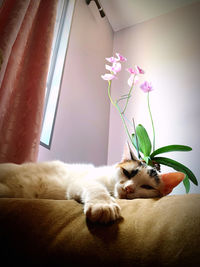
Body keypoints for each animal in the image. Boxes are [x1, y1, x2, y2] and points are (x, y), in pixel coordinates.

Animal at [0, 144, 184, 224]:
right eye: (127, 173)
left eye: (147, 187)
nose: (129, 188)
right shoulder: (83, 182)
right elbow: (98, 189)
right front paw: (103, 205)